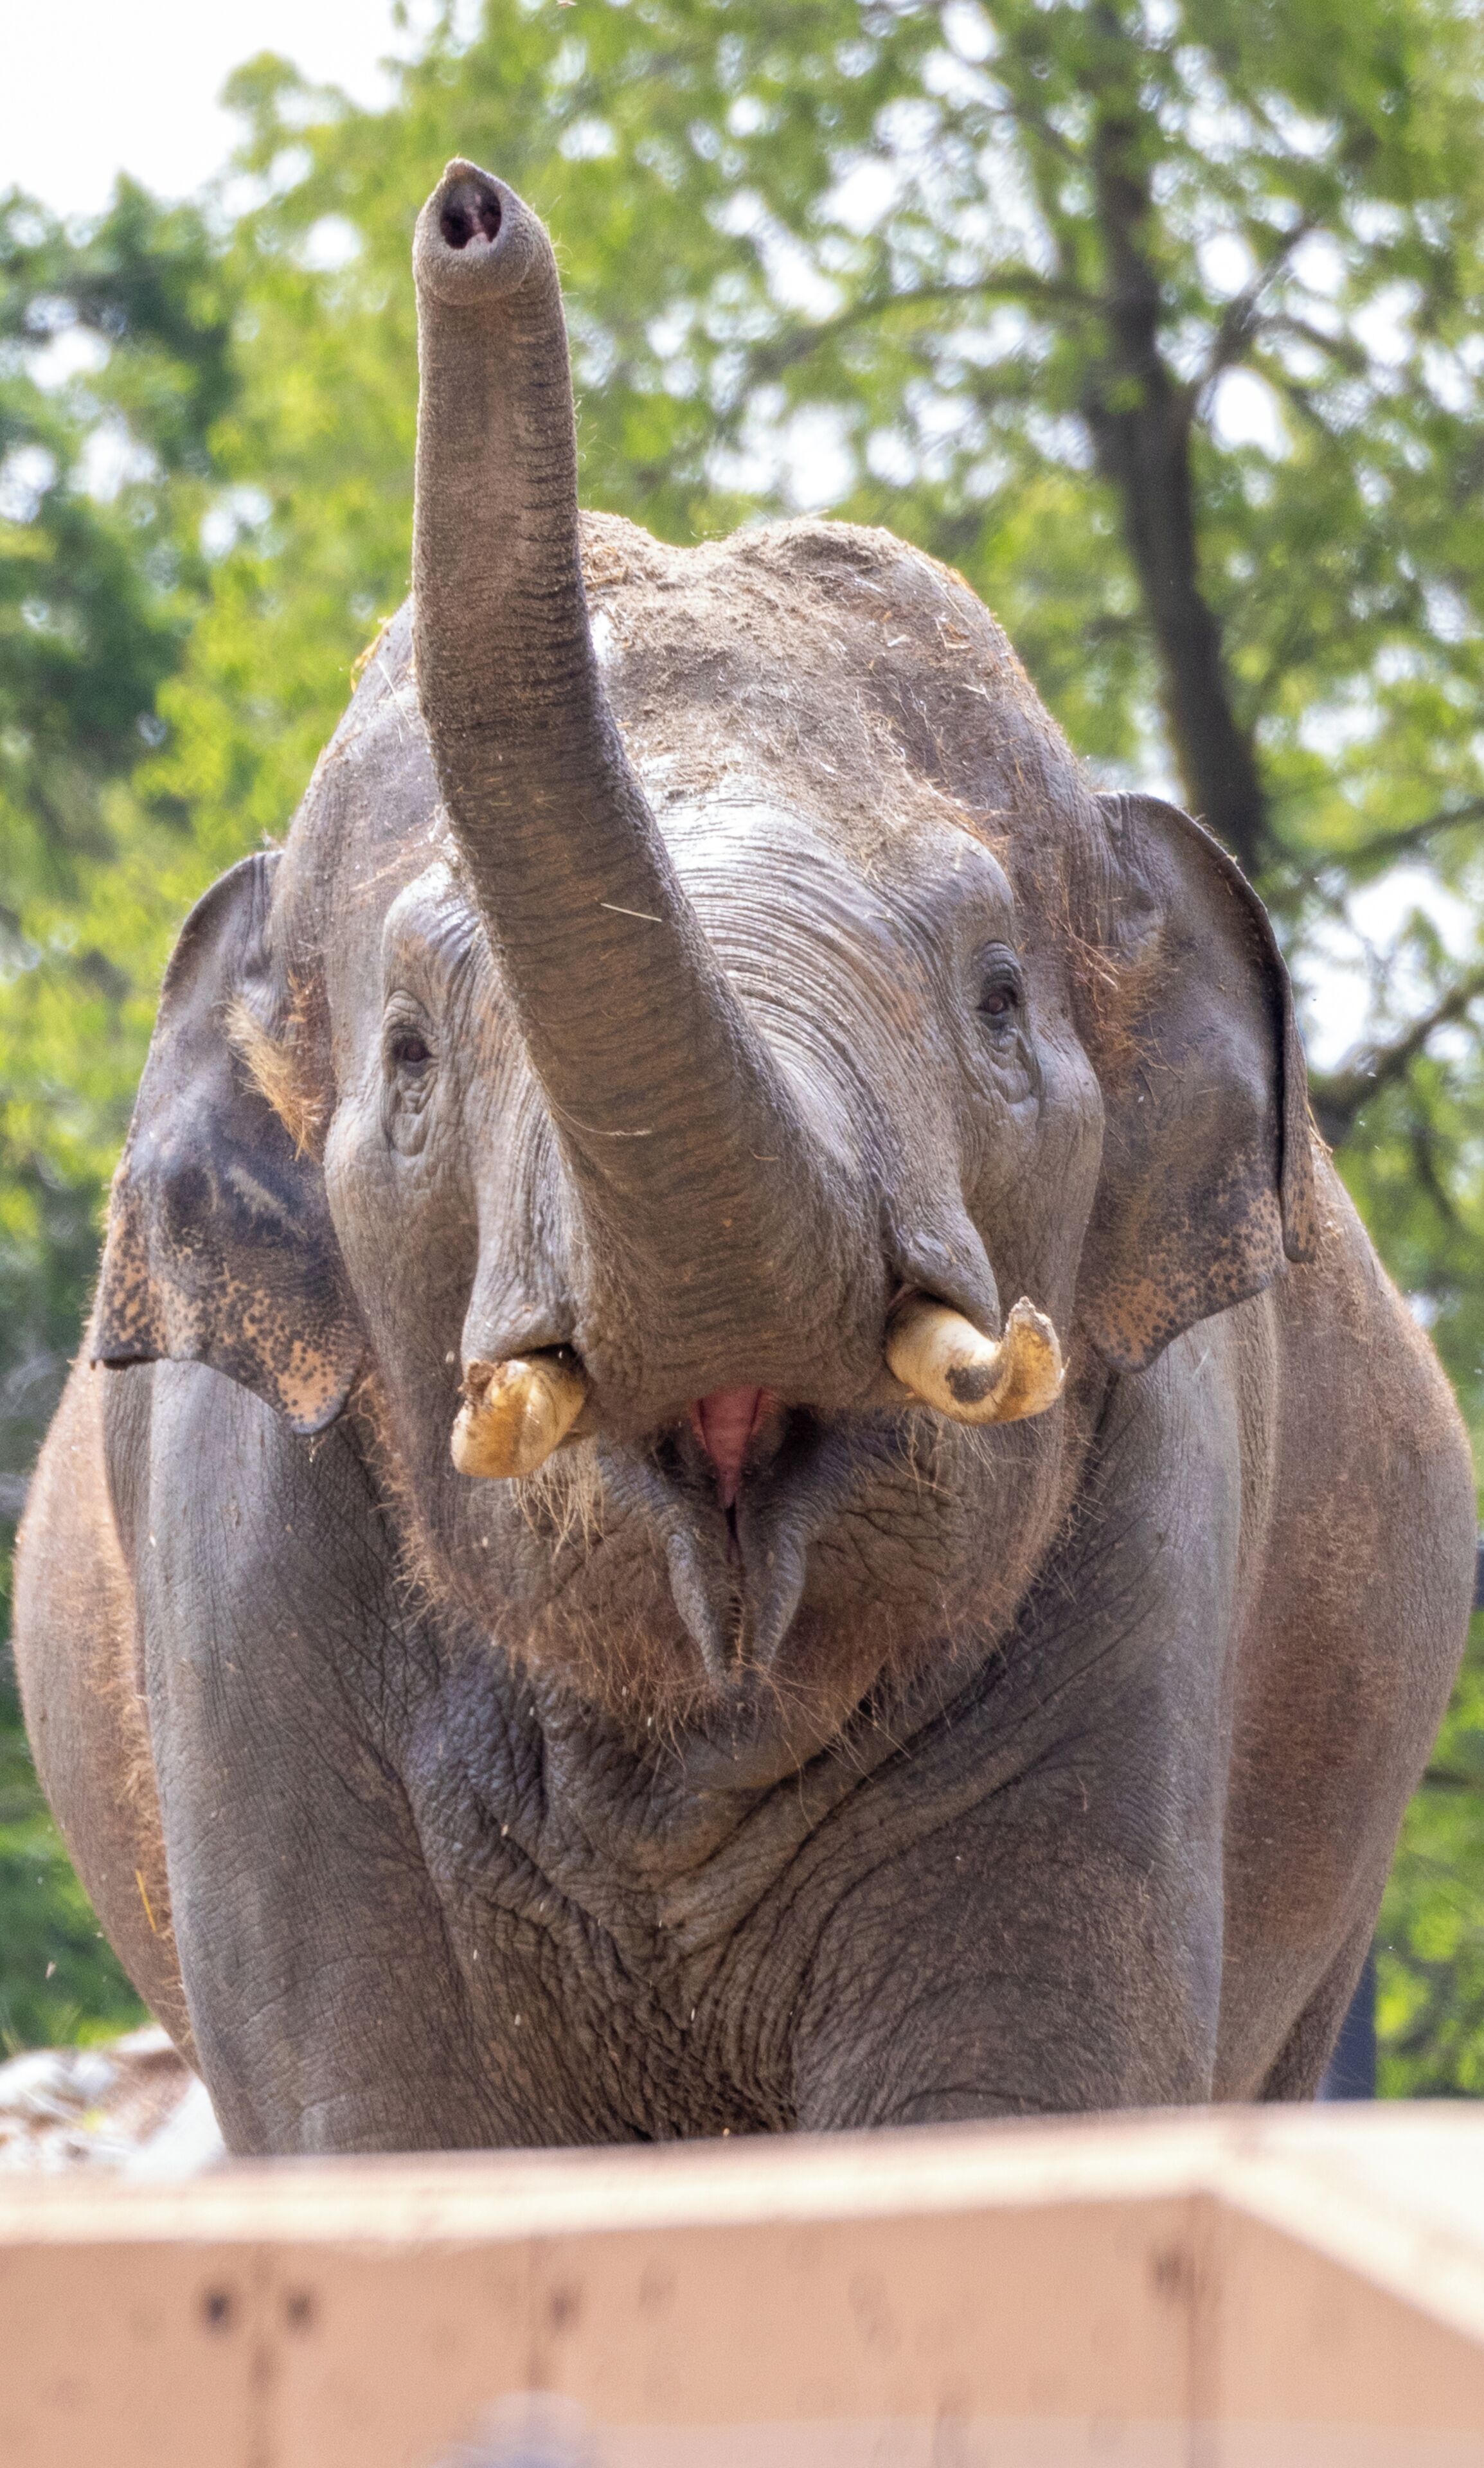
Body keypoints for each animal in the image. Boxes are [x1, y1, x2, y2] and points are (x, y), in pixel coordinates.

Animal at [14, 160, 1474, 2154]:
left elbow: (1001, 2101)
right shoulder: (247, 1598)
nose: (469, 210)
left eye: (996, 1002)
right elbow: (383, 2127)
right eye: (407, 1061)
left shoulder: (1144, 1537)